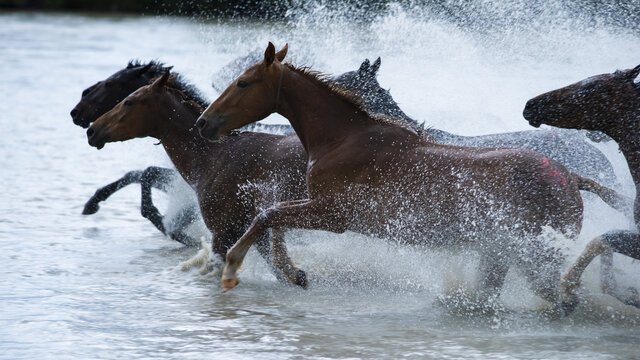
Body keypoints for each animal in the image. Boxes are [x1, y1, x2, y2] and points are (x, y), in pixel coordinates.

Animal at [85, 71, 310, 286]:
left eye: (129, 101)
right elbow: (287, 273)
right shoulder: (254, 232)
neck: (210, 156)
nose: (92, 130)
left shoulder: (222, 231)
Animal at [196, 42, 592, 308]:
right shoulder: (319, 207)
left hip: (534, 253)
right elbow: (272, 217)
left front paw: (233, 269)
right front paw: (291, 272)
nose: (202, 122)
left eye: (243, 82)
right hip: (502, 251)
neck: (341, 138)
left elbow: (267, 215)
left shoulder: (332, 214)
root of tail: (572, 178)